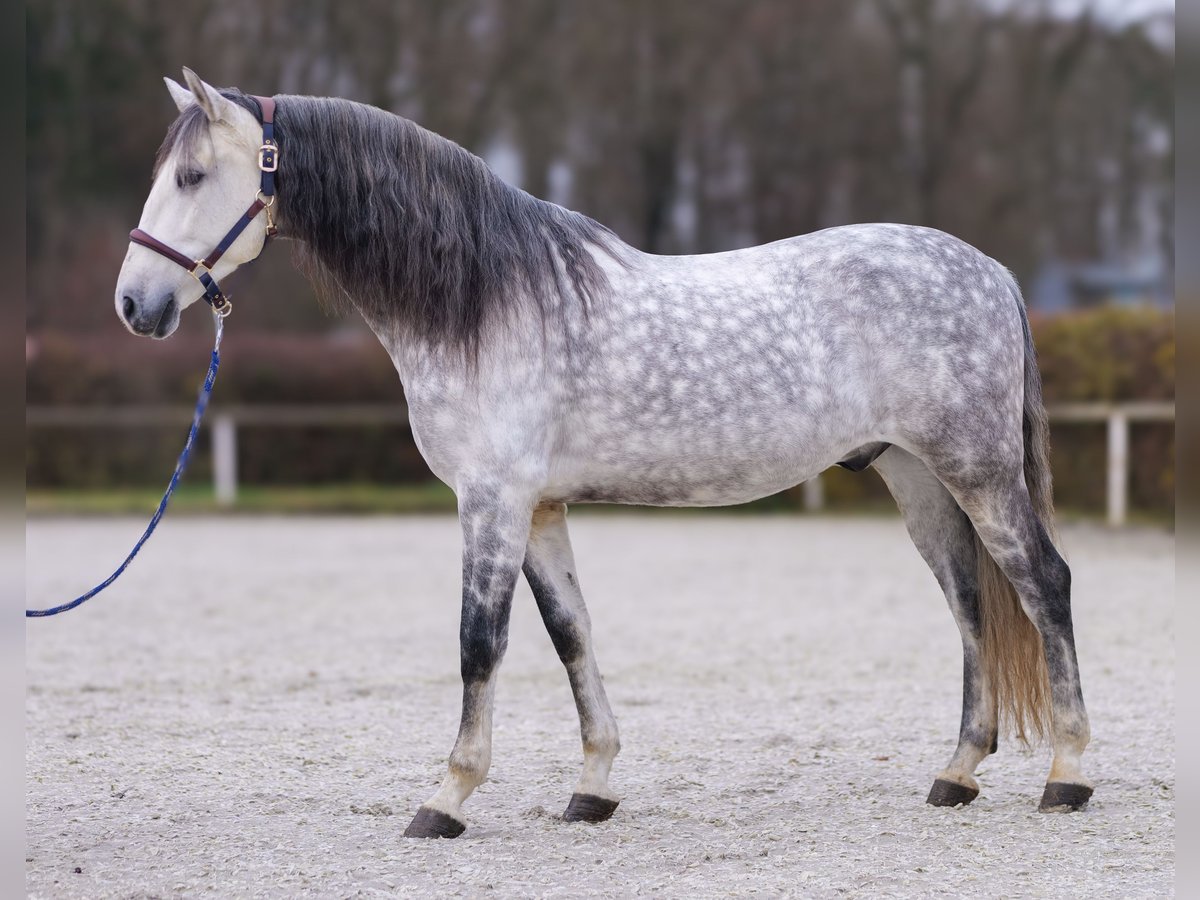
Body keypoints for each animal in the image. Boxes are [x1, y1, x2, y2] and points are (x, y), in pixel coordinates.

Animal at [117, 66, 1094, 844]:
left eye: (194, 176)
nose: (134, 305)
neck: (486, 300)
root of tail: (990, 272)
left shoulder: (493, 501)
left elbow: (479, 643)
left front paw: (448, 798)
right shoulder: (541, 508)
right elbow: (571, 636)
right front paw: (591, 788)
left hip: (978, 472)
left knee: (1044, 585)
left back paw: (1069, 775)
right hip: (917, 477)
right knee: (969, 602)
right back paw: (956, 774)